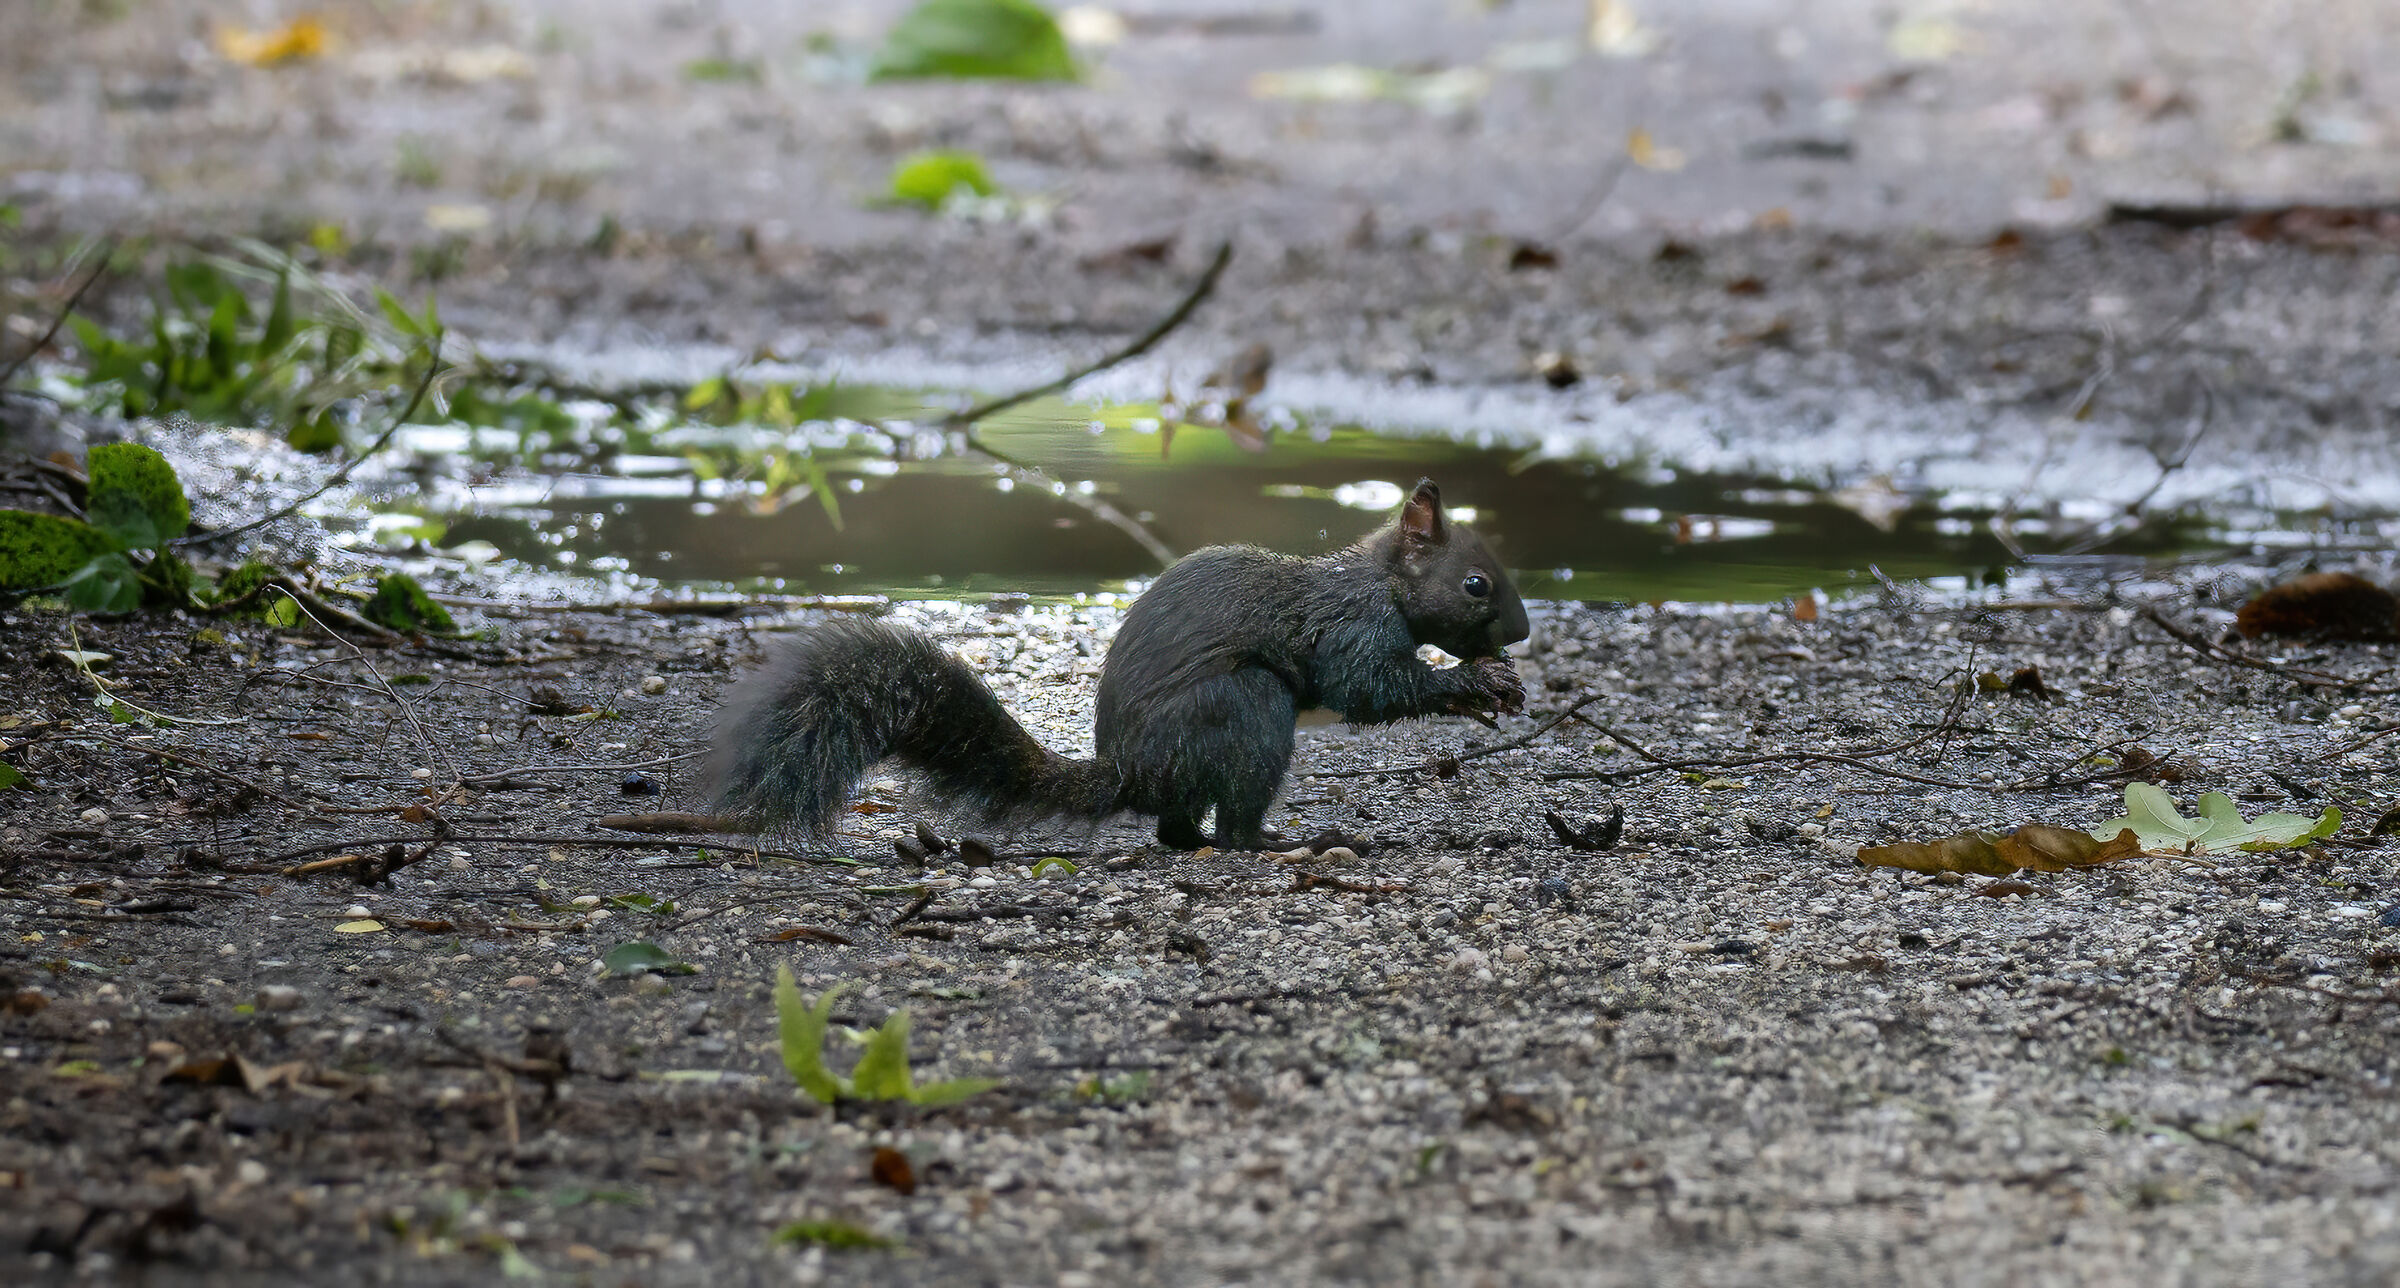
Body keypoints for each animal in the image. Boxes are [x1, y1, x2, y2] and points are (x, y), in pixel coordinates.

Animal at [705, 478, 1529, 850]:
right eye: (1476, 584)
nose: (1519, 634)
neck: (1379, 581)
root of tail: (1134, 771)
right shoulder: (1350, 628)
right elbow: (1370, 688)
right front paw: (1470, 684)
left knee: (1177, 829)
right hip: (1245, 707)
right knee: (1229, 825)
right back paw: (1280, 844)